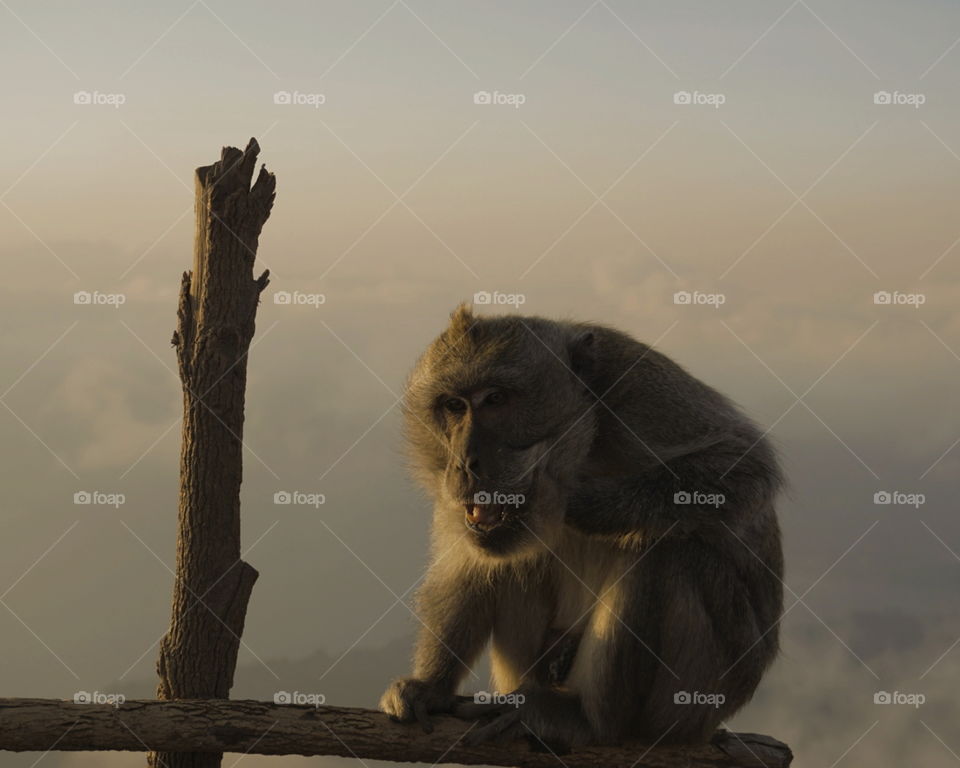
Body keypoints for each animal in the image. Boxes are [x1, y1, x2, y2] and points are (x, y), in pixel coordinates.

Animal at [378, 304, 784, 751]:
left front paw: (577, 503)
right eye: (453, 405)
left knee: (664, 553)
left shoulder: (640, 390)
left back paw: (587, 722)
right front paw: (430, 689)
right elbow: (468, 568)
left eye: (496, 399)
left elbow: (743, 464)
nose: (465, 462)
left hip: (698, 698)